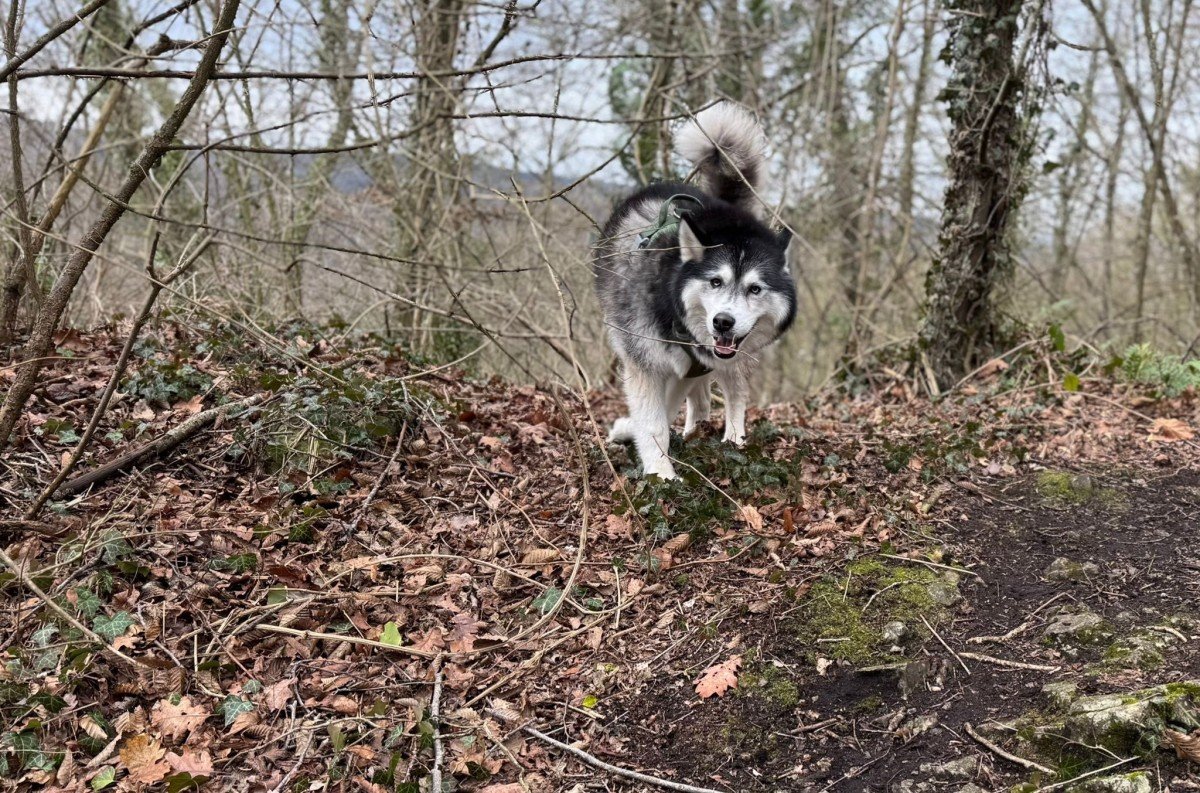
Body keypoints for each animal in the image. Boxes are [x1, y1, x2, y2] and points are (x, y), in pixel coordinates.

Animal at [592, 102, 796, 479]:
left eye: (755, 288)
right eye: (715, 281)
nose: (723, 322)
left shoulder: (696, 363)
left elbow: (666, 410)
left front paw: (657, 467)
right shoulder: (645, 361)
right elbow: (654, 420)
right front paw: (661, 473)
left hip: (734, 358)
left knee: (732, 394)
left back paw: (732, 439)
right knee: (699, 399)